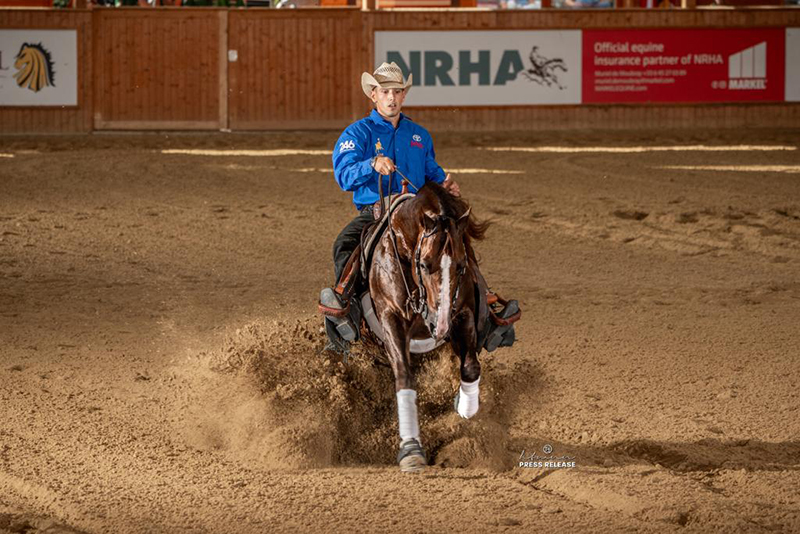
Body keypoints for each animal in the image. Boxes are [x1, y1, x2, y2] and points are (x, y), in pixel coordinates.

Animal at [368, 181, 490, 474]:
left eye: (461, 266)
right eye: (424, 264)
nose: (440, 325)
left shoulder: (463, 313)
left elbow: (471, 367)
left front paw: (465, 409)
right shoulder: (390, 317)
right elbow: (404, 376)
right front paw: (411, 449)